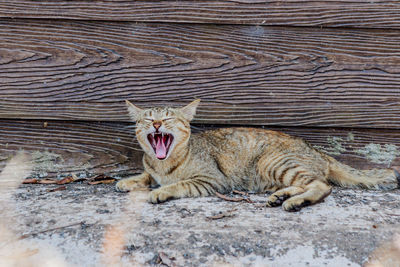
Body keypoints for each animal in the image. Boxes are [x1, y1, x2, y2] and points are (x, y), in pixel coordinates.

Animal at [116, 99, 400, 213]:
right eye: (148, 119)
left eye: (168, 118)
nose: (156, 125)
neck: (164, 165)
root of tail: (317, 150)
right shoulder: (152, 168)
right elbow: (146, 174)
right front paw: (129, 180)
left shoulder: (213, 181)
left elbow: (180, 184)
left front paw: (161, 191)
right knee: (307, 183)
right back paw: (282, 196)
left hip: (273, 161)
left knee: (322, 185)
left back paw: (295, 202)